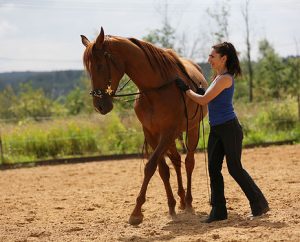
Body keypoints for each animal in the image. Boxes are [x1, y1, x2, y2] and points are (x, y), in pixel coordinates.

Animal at [79, 27, 207, 225]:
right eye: (88, 69)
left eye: (99, 65)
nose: (99, 105)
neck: (155, 90)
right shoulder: (152, 134)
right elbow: (162, 170)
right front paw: (170, 206)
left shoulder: (168, 132)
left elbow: (150, 167)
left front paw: (137, 212)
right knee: (176, 161)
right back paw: (180, 201)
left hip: (191, 131)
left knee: (188, 162)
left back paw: (189, 203)